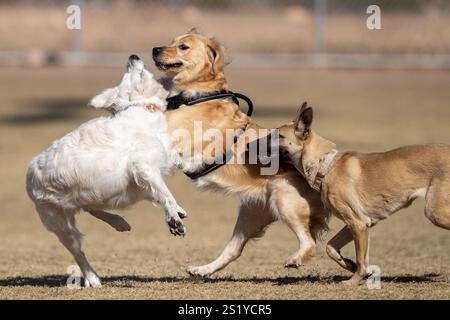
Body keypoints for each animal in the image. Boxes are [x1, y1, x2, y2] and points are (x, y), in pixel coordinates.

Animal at [25, 55, 187, 288]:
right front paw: (174, 219)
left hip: (88, 195)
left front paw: (176, 211)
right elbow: (165, 194)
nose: (133, 57)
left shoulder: (147, 175)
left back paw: (119, 222)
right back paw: (92, 278)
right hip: (59, 222)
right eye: (132, 73)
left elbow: (162, 190)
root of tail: (29, 172)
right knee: (78, 251)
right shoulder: (142, 166)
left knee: (91, 208)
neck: (141, 107)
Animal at [153, 30, 328, 276]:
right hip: (251, 214)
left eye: (183, 46)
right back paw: (203, 269)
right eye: (171, 41)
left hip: (285, 199)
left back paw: (295, 259)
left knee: (309, 243)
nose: (155, 49)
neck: (195, 95)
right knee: (233, 251)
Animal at [278, 102, 450, 284]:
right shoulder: (361, 223)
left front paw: (353, 280)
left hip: (435, 213)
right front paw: (348, 264)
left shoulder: (358, 223)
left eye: (278, 135)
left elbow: (361, 259)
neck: (326, 165)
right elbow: (331, 247)